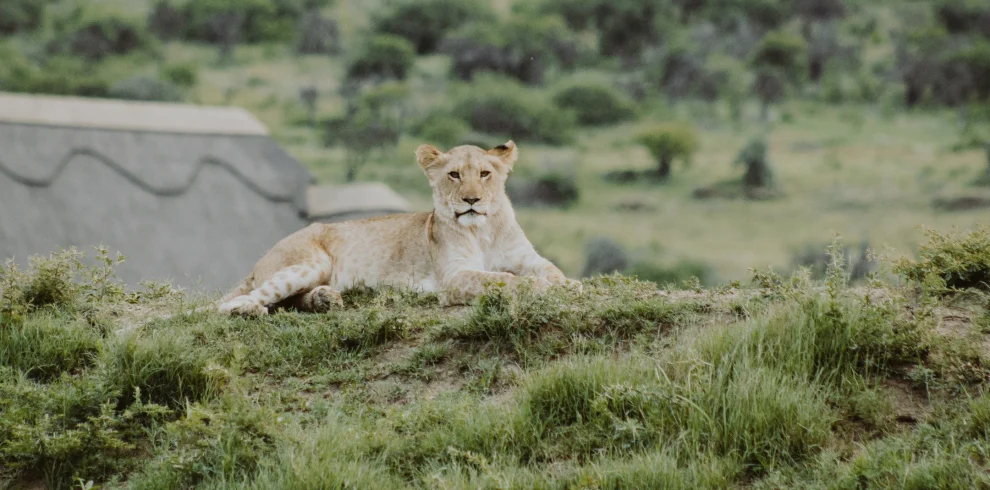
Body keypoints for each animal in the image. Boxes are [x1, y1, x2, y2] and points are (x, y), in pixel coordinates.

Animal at [217, 140, 580, 316]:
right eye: (454, 175)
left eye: (485, 174)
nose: (472, 200)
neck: (484, 230)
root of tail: (261, 260)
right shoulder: (453, 277)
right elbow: (503, 279)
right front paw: (540, 289)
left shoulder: (528, 258)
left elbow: (552, 271)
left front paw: (568, 285)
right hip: (310, 262)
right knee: (227, 304)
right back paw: (247, 310)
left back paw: (325, 299)